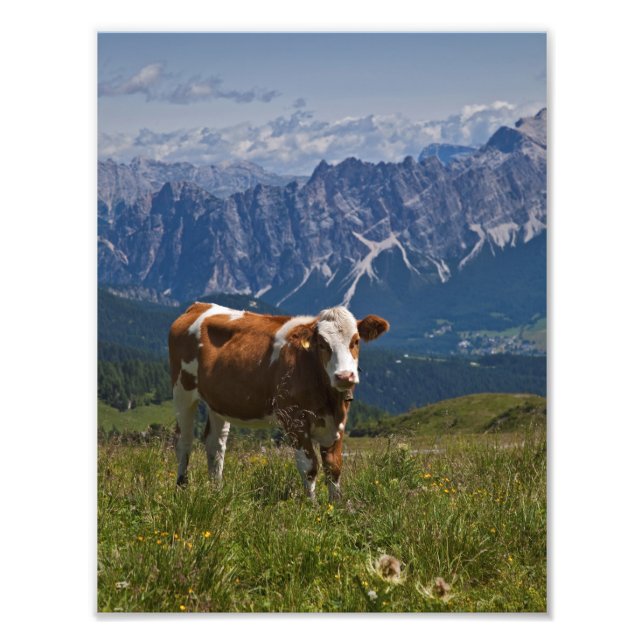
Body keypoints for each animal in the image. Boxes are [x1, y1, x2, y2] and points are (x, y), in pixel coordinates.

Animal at [168, 302, 389, 500]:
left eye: (356, 341)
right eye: (322, 344)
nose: (344, 376)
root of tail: (199, 306)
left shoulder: (338, 423)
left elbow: (333, 467)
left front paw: (336, 507)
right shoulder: (293, 419)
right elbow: (309, 467)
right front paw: (312, 507)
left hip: (219, 402)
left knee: (215, 444)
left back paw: (217, 492)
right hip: (182, 391)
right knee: (183, 440)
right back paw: (181, 489)